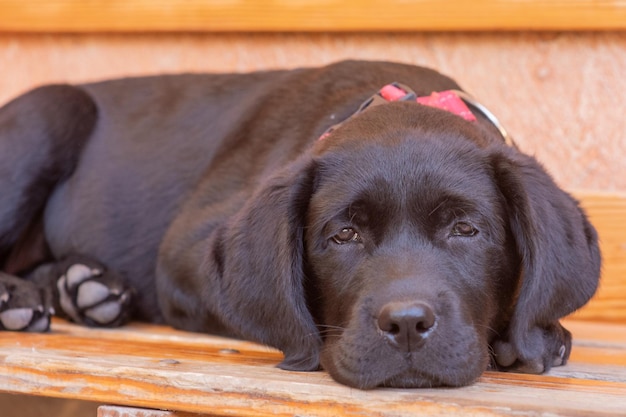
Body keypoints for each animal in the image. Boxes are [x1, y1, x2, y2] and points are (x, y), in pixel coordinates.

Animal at [0, 60, 600, 388]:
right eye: (343, 235)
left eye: (466, 230)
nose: (406, 325)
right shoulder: (181, 255)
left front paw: (541, 335)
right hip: (48, 114)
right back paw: (19, 298)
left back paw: (84, 285)